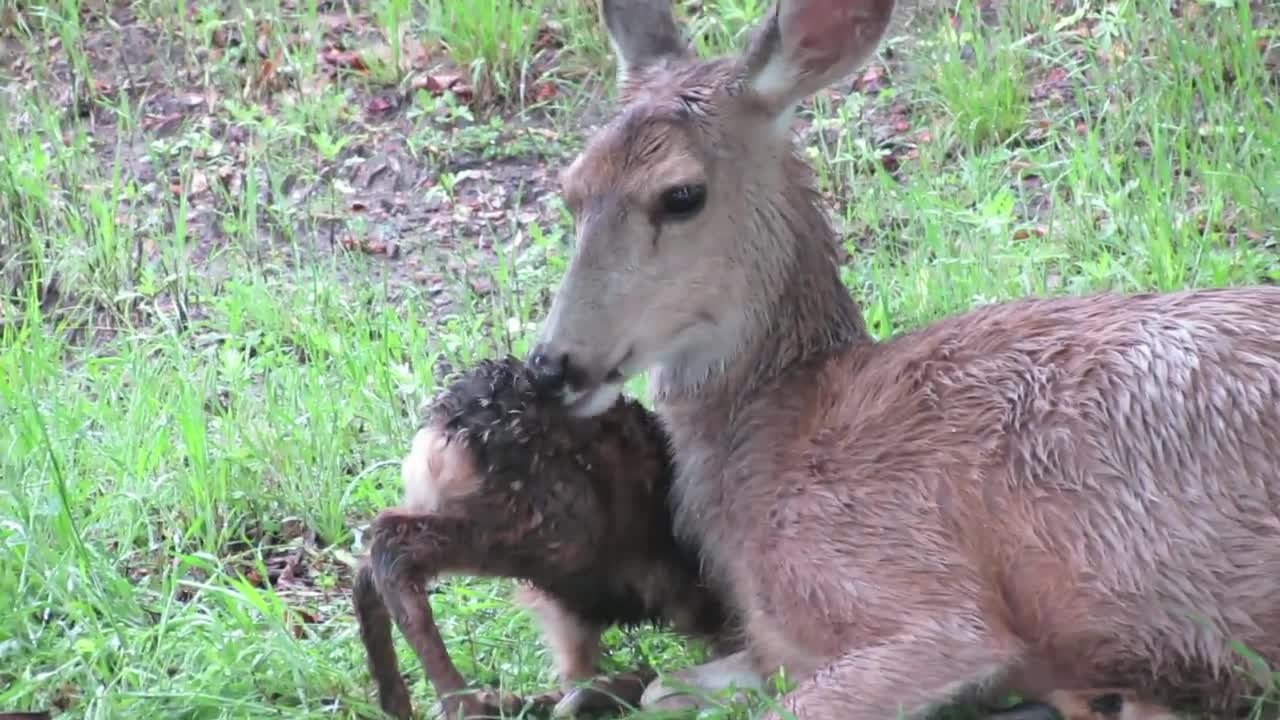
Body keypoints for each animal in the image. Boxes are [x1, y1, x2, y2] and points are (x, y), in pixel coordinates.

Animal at [524, 0, 1280, 712]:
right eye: (570, 190)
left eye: (681, 196)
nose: (552, 366)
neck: (781, 433)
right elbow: (668, 687)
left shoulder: (919, 596)